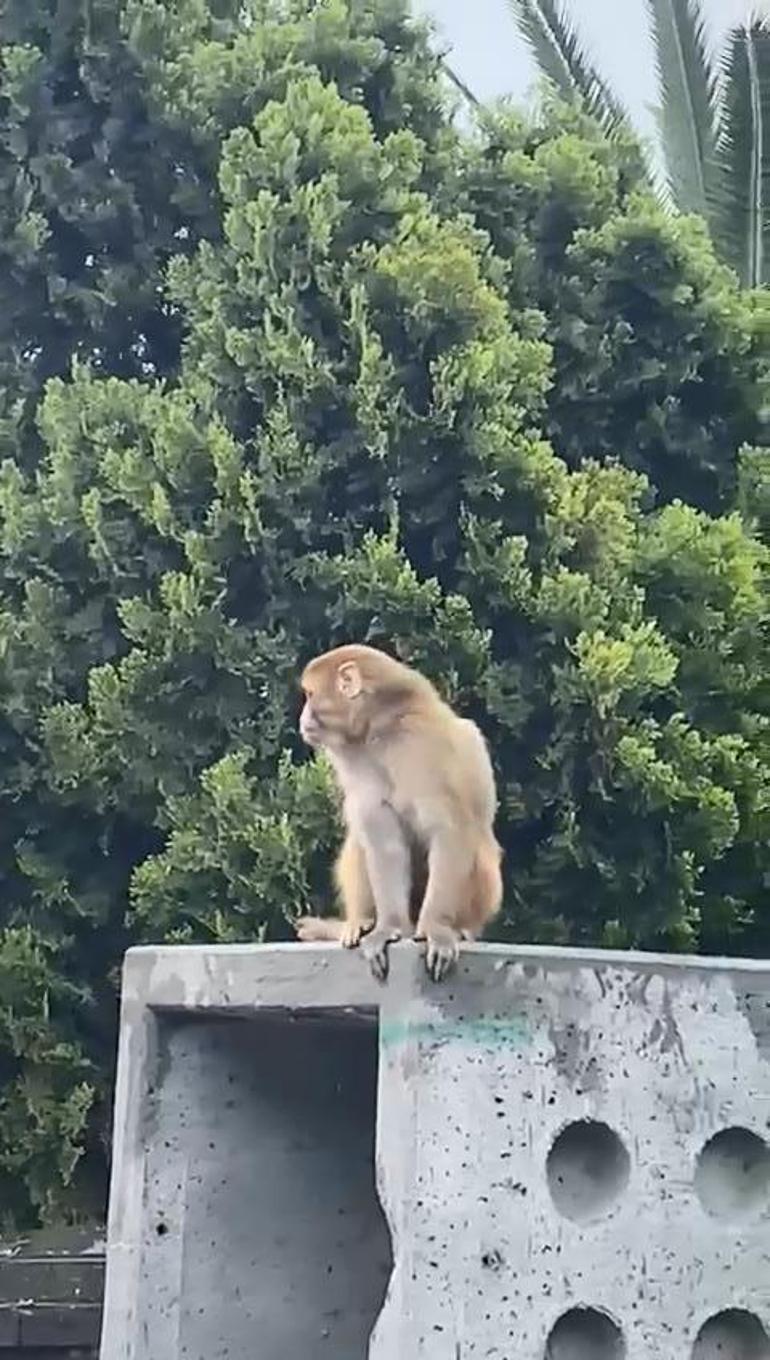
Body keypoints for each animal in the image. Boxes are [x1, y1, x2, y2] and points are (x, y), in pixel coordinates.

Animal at [292, 641, 503, 984]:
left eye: (310, 695)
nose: (302, 717)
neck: (378, 729)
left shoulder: (429, 747)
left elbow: (449, 830)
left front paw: (436, 928)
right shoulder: (358, 762)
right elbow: (384, 841)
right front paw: (387, 928)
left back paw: (457, 928)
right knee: (360, 841)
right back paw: (362, 921)